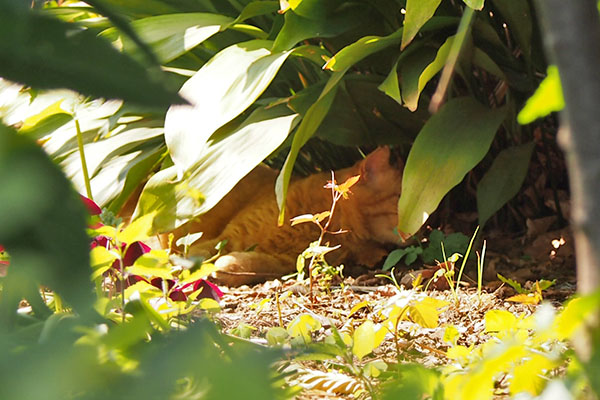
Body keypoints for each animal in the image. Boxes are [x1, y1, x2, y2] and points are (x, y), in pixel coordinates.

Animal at [171, 145, 404, 286]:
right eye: (402, 200)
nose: (419, 225)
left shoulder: (290, 261)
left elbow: (258, 265)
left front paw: (228, 266)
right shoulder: (226, 237)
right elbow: (196, 253)